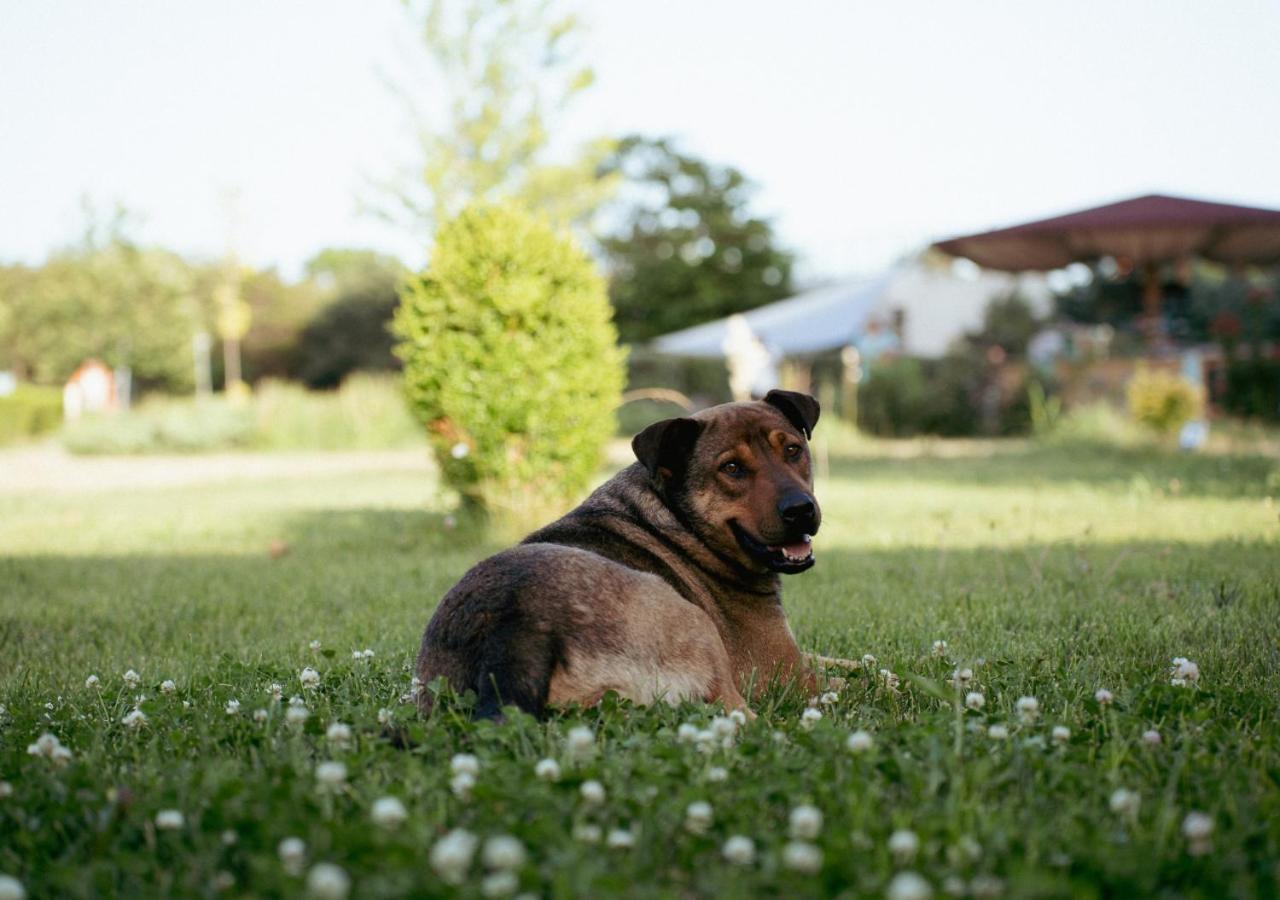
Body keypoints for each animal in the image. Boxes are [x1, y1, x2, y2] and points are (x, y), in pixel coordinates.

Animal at [417, 386, 849, 716]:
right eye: (731, 469)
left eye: (792, 450)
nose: (800, 510)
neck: (682, 523)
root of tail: (513, 634)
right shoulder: (785, 670)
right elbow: (852, 680)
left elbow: (849, 660)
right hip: (694, 624)